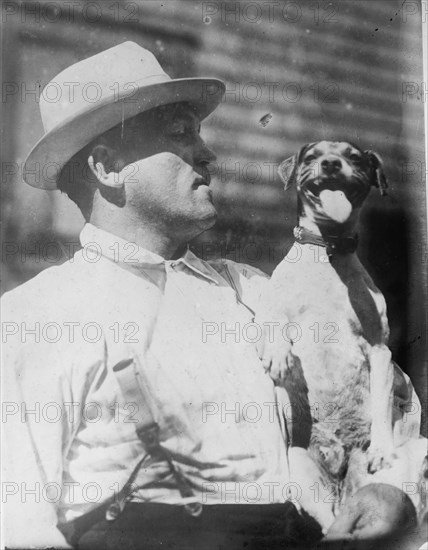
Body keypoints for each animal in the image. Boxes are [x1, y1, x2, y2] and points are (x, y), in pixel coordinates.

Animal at [256, 141, 396, 488]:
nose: (331, 164)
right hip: (301, 467)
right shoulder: (266, 310)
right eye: (311, 156)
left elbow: (383, 403)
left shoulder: (380, 350)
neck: (327, 252)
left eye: (354, 157)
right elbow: (274, 322)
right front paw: (279, 355)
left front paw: (383, 450)